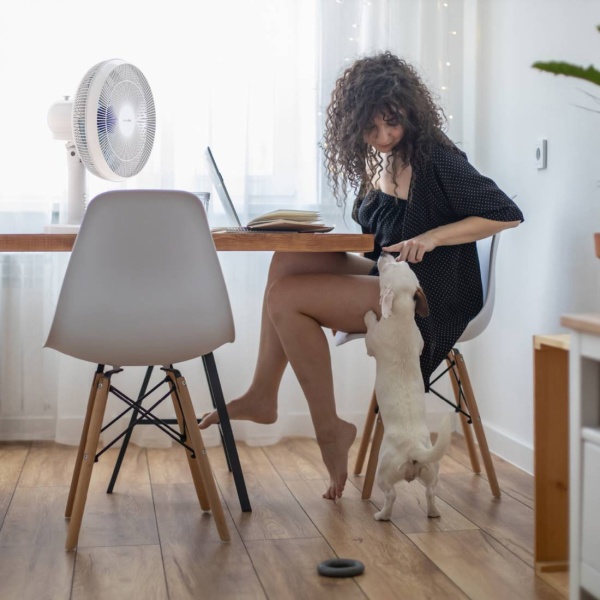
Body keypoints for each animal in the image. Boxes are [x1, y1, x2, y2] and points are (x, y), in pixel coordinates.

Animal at [364, 253, 452, 520]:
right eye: (401, 263)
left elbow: (370, 328)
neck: (402, 315)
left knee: (390, 495)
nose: (385, 252)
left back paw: (381, 516)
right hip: (432, 471)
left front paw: (370, 315)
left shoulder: (371, 342)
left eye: (388, 267)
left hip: (384, 471)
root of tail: (414, 449)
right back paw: (433, 513)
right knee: (431, 493)